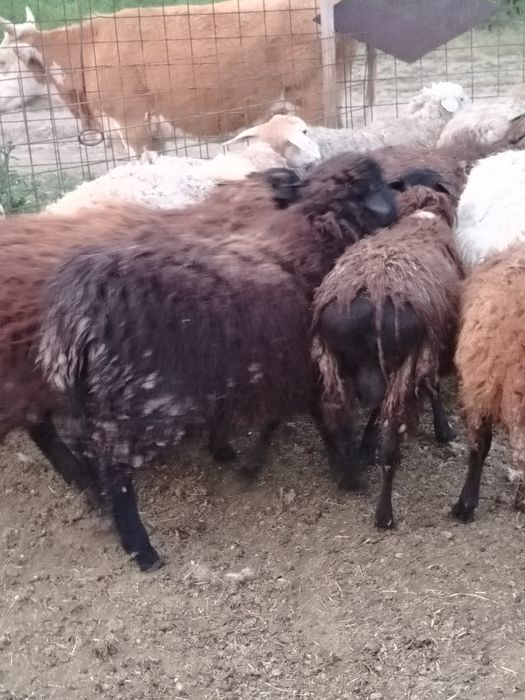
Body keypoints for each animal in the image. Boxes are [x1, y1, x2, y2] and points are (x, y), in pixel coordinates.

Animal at [36, 153, 400, 571]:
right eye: (375, 189)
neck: (315, 237)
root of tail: (77, 313)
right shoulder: (315, 370)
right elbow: (329, 424)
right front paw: (349, 475)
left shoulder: (271, 367)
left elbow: (266, 420)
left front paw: (235, 455)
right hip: (138, 403)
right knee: (115, 471)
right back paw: (142, 549)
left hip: (84, 397)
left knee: (84, 450)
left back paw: (94, 498)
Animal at [311, 183, 463, 529]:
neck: (422, 217)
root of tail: (374, 292)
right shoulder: (430, 343)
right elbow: (433, 385)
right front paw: (444, 429)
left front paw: (365, 447)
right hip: (400, 363)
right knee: (392, 441)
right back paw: (384, 513)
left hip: (337, 363)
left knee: (336, 416)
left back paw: (349, 473)